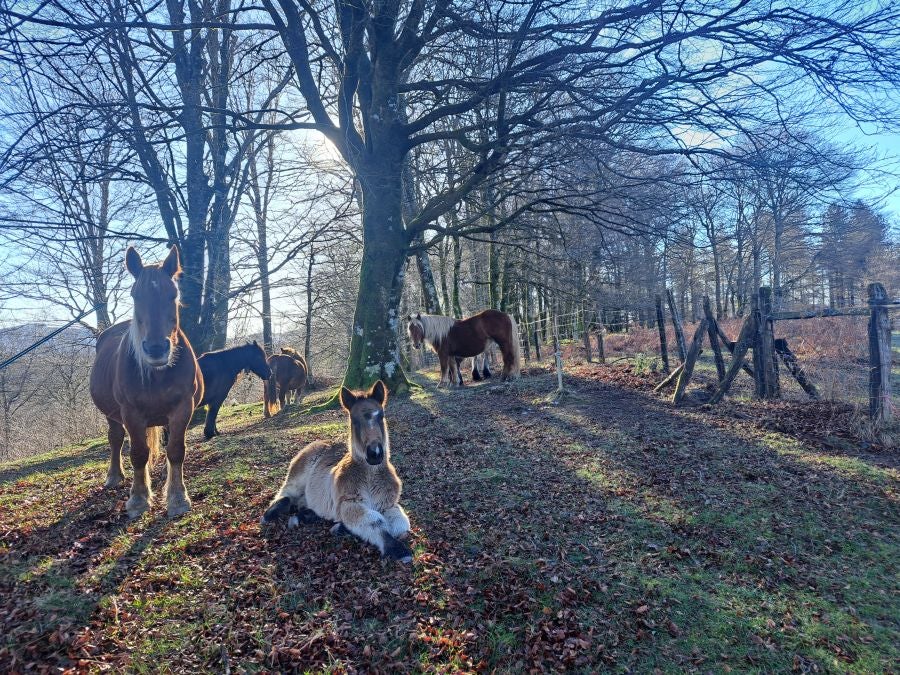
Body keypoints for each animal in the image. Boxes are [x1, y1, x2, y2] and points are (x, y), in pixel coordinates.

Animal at [89, 246, 203, 520]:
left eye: (173, 294)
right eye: (135, 296)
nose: (156, 348)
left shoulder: (183, 408)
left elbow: (176, 450)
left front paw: (177, 497)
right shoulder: (131, 413)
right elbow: (139, 454)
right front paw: (139, 499)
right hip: (112, 415)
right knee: (115, 438)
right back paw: (114, 476)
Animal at [262, 382, 414, 564]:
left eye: (381, 416)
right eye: (354, 420)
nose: (375, 454)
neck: (369, 478)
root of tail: (317, 442)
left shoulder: (388, 504)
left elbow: (401, 526)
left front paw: (339, 527)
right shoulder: (349, 503)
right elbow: (376, 522)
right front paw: (398, 550)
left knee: (304, 503)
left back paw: (305, 516)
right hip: (296, 478)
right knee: (284, 495)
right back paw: (275, 515)